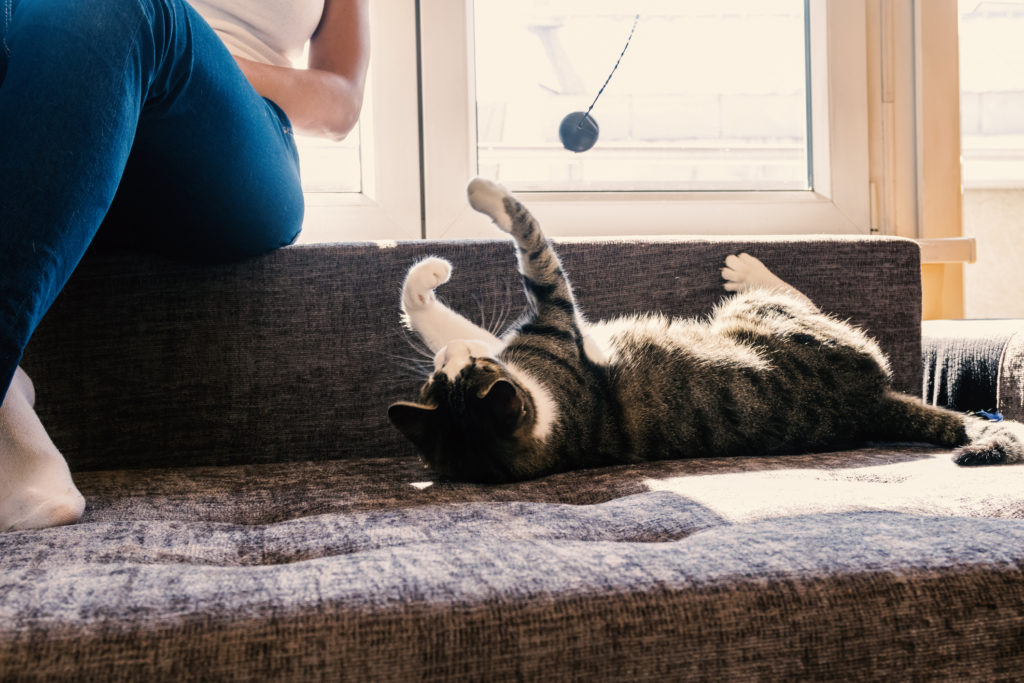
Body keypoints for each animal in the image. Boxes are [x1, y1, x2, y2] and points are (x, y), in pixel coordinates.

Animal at [385, 179, 1024, 483]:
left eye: (441, 381)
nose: (447, 360)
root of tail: (873, 403)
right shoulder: (554, 324)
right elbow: (530, 240)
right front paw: (474, 205)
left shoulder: (538, 334)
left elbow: (450, 303)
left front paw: (431, 270)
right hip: (773, 322)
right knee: (795, 300)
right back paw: (746, 267)